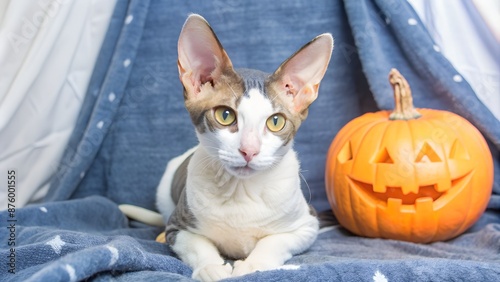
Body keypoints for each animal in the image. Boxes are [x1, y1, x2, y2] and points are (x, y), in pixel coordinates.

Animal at [121, 13, 332, 282]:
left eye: (276, 121)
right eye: (225, 115)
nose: (249, 151)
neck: (240, 190)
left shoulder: (307, 224)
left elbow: (274, 242)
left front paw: (253, 265)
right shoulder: (177, 227)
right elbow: (198, 244)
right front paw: (211, 268)